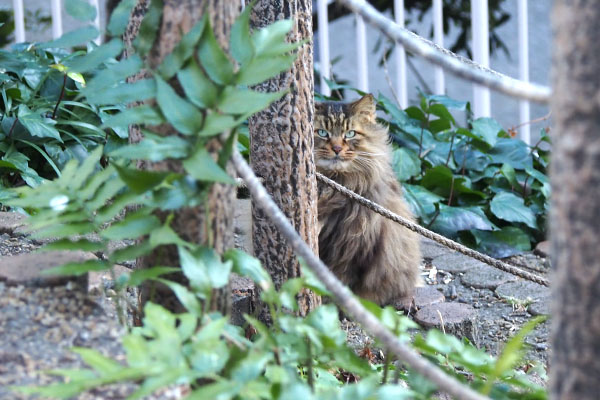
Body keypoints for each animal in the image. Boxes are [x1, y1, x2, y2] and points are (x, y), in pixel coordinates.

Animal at [316, 94, 420, 306]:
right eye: (322, 132)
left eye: (350, 134)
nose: (337, 148)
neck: (332, 184)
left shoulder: (353, 246)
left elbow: (340, 281)